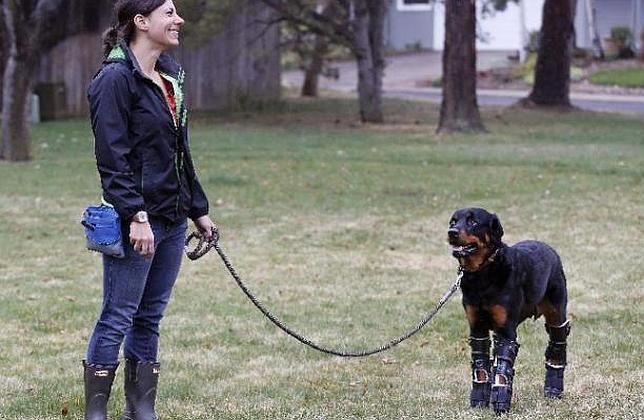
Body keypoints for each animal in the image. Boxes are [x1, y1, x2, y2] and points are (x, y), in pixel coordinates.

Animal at [446, 207, 572, 414]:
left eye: (473, 222)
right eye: (453, 221)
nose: (452, 232)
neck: (483, 274)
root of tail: (548, 248)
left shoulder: (506, 330)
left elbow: (502, 366)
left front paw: (500, 404)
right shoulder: (477, 327)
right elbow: (481, 365)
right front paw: (479, 401)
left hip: (556, 311)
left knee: (558, 341)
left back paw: (553, 388)